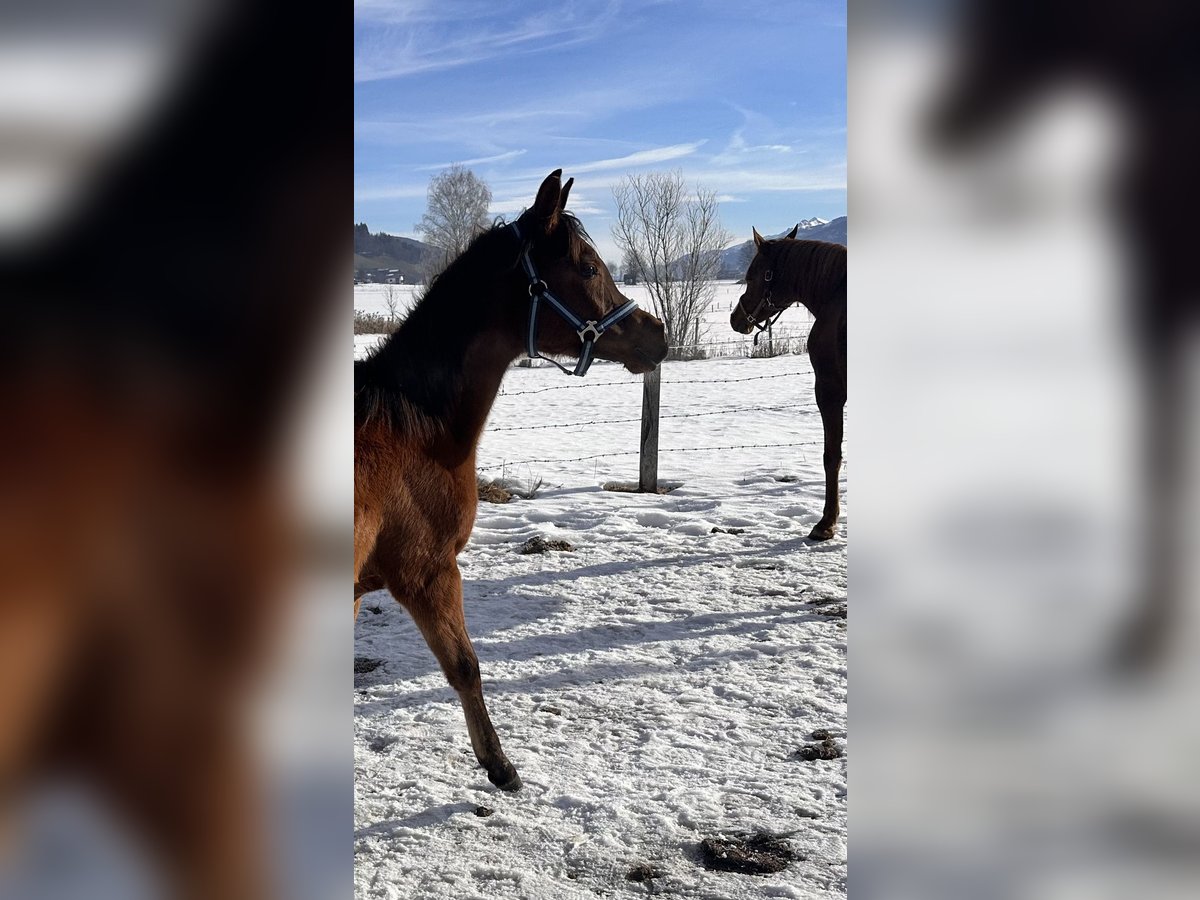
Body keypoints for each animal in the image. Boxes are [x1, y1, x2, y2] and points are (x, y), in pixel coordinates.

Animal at [355, 169, 672, 787]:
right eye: (589, 267)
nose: (658, 334)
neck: (411, 426)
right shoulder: (428, 572)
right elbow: (465, 666)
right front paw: (500, 766)